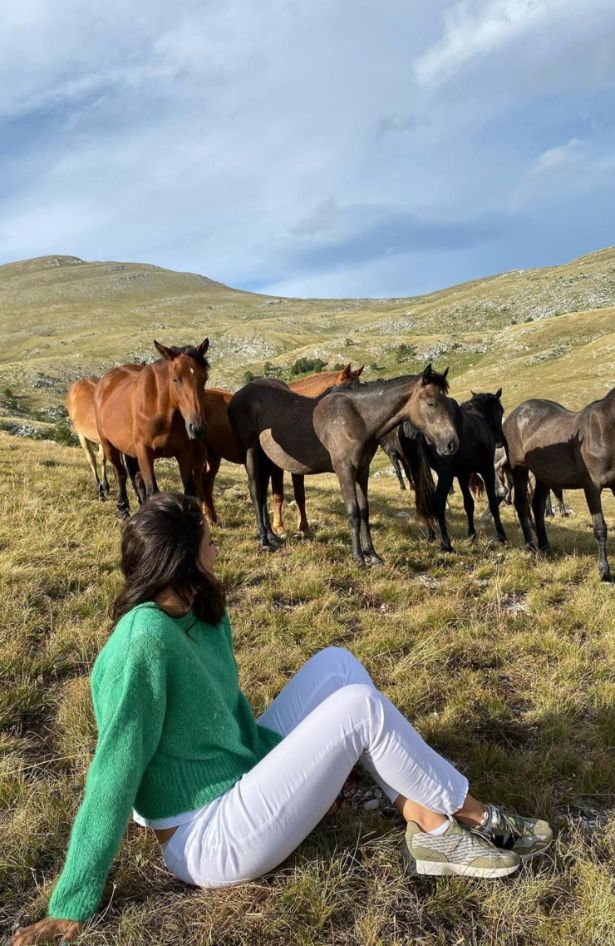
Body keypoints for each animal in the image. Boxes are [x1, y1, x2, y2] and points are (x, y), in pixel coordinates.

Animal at [95, 340, 211, 516]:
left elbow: (189, 491)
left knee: (135, 478)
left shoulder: (184, 452)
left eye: (204, 378)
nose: (197, 428)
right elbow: (153, 491)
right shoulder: (144, 452)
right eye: (175, 379)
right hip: (109, 445)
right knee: (120, 473)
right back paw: (122, 508)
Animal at [202, 362, 366, 528]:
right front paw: (279, 525)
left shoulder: (297, 466)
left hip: (214, 457)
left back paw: (212, 518)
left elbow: (299, 494)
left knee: (207, 482)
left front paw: (303, 525)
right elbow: (278, 494)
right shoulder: (277, 466)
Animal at [227, 366, 458, 564]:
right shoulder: (344, 471)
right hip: (251, 451)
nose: (451, 443)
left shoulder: (362, 471)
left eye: (447, 403)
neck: (358, 418)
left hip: (266, 457)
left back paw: (271, 536)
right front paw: (358, 557)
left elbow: (364, 511)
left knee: (262, 492)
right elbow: (353, 512)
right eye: (431, 403)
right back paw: (264, 541)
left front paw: (373, 554)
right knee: (255, 491)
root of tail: (240, 394)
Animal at [402, 388, 508, 548]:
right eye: (500, 409)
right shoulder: (486, 469)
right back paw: (446, 542)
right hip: (446, 475)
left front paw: (472, 534)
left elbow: (468, 503)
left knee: (422, 499)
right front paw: (501, 536)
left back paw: (431, 535)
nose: (501, 441)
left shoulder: (462, 474)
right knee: (438, 501)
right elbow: (493, 502)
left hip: (417, 469)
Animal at [502, 386, 615, 580]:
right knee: (522, 504)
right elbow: (600, 528)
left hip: (543, 475)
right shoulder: (591, 487)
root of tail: (513, 415)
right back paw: (530, 546)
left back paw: (545, 546)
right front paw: (605, 572)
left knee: (538, 505)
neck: (604, 431)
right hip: (519, 469)